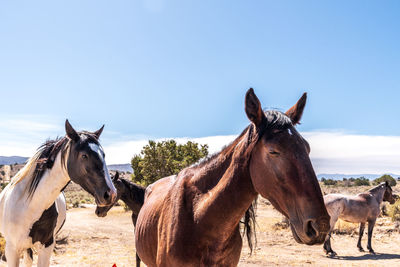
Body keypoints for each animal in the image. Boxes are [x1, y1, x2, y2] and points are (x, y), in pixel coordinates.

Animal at [0, 120, 117, 266]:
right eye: (84, 155)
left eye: (104, 155)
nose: (111, 194)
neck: (28, 205)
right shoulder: (12, 249)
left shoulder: (47, 245)